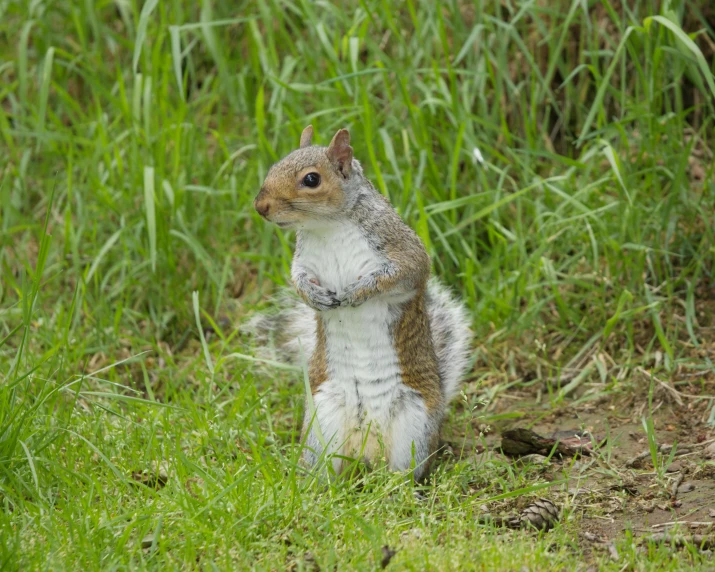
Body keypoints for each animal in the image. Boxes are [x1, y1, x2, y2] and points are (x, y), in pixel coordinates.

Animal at [249, 127, 472, 480]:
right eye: (274, 167)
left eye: (311, 179)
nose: (261, 206)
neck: (328, 226)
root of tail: (367, 452)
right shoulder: (304, 262)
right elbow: (299, 281)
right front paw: (316, 297)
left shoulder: (400, 247)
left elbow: (406, 272)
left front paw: (359, 291)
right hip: (323, 420)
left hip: (415, 424)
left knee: (405, 472)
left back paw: (398, 487)